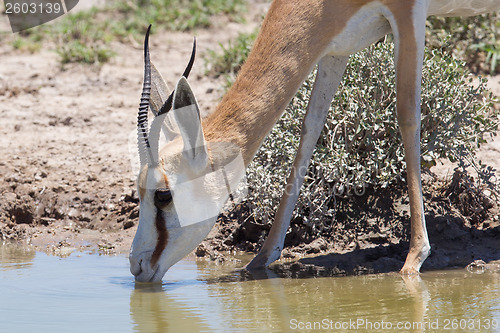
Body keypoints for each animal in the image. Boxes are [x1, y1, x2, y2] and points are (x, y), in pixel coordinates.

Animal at [129, 0, 500, 280]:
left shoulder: (409, 13)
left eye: (163, 195)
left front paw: (413, 260)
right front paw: (260, 260)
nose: (136, 266)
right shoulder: (336, 48)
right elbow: (310, 128)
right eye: (139, 190)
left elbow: (408, 115)